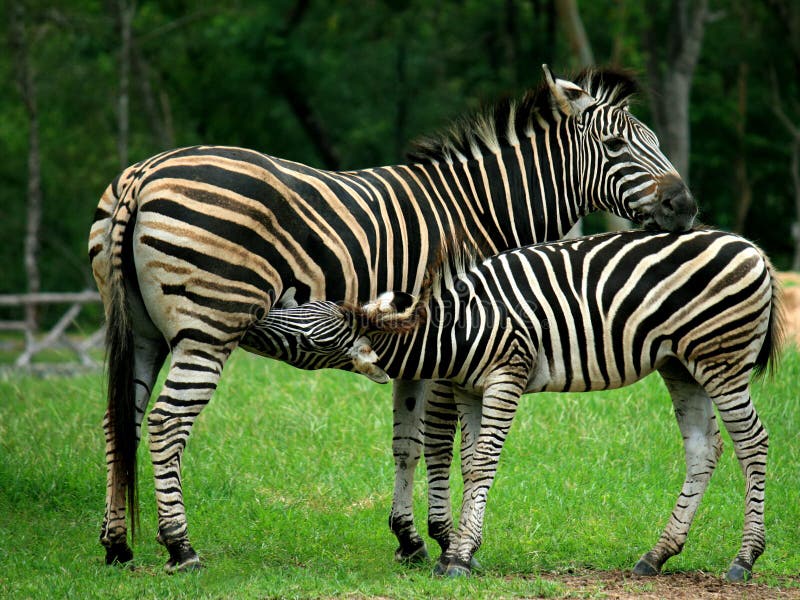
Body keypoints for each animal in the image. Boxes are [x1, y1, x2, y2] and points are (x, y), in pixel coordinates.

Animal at [90, 65, 696, 572]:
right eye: (616, 145)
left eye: (656, 143)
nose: (686, 207)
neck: (480, 210)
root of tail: (144, 174)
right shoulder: (458, 336)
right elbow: (444, 443)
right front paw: (447, 541)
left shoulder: (420, 345)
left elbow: (406, 442)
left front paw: (410, 539)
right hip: (209, 328)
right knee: (167, 422)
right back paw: (180, 547)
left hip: (142, 332)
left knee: (124, 420)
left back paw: (117, 545)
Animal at [255, 227, 780, 580]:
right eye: (297, 309)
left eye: (306, 336)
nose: (254, 318)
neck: (457, 328)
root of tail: (752, 247)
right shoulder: (468, 388)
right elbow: (469, 463)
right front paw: (458, 551)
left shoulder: (507, 375)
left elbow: (486, 461)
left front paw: (459, 556)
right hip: (681, 365)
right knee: (703, 448)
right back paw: (657, 554)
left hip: (721, 358)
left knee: (752, 443)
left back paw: (744, 558)